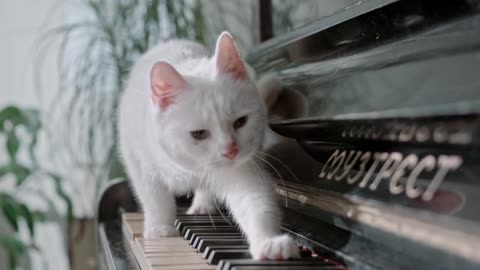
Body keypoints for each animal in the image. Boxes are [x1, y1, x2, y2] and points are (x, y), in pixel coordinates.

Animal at [118, 31, 298, 260]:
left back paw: (203, 204)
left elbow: (256, 204)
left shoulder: (244, 172)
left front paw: (268, 242)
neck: (188, 169)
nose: (231, 150)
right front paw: (160, 229)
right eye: (199, 134)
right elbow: (155, 199)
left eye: (241, 122)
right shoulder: (139, 164)